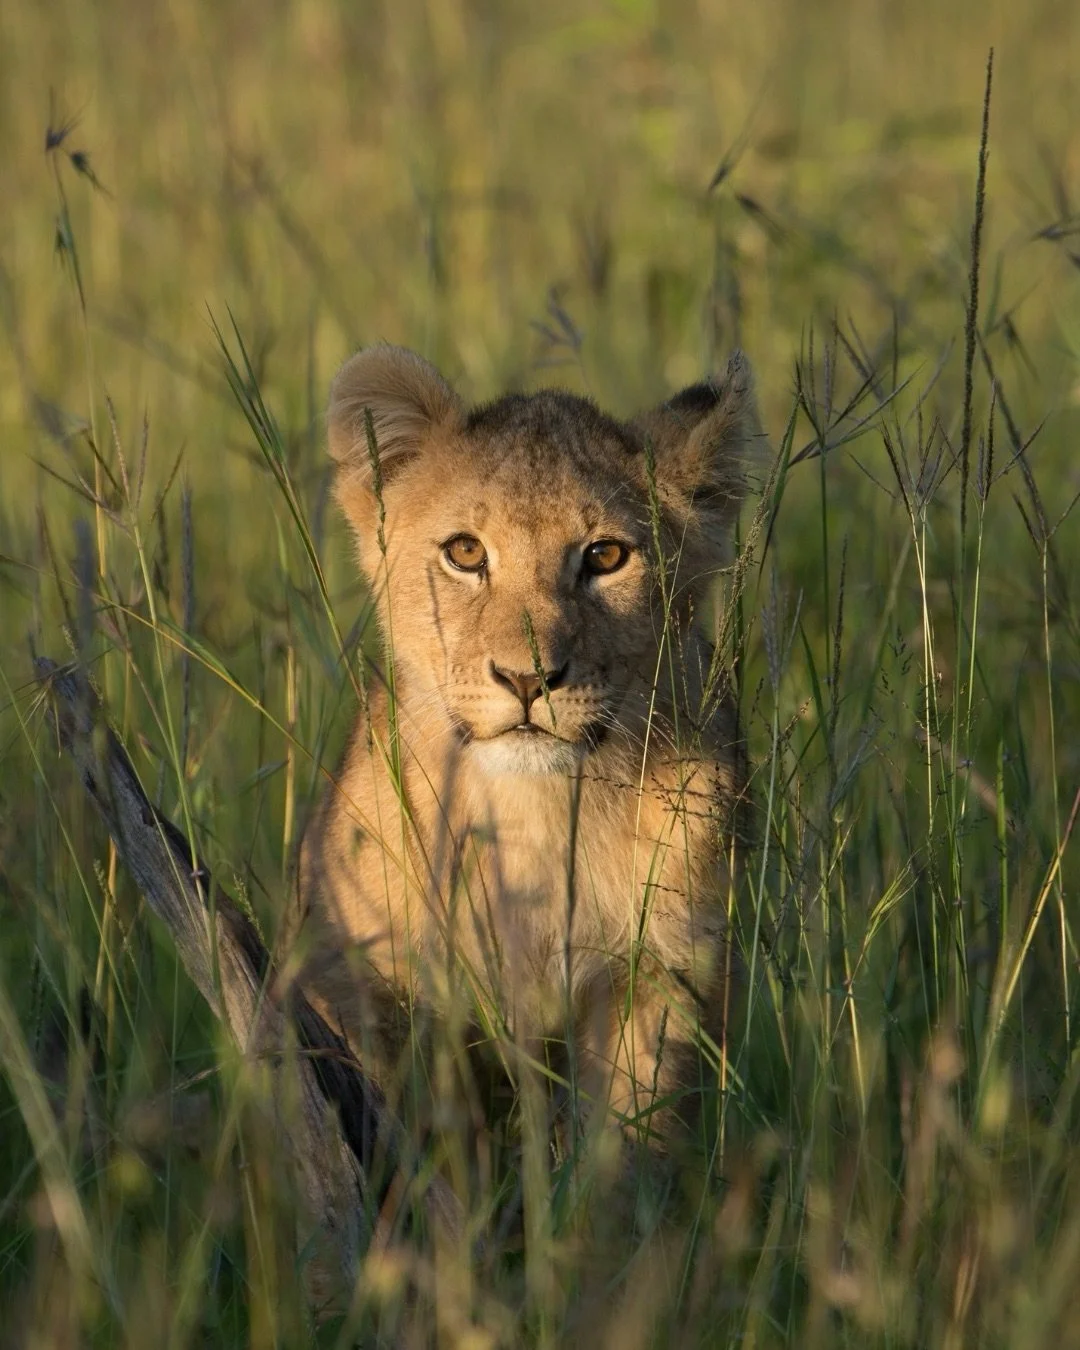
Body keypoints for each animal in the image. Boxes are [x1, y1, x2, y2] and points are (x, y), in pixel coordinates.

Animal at [292, 344, 760, 1148]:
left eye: (605, 556)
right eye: (465, 551)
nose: (527, 678)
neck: (532, 809)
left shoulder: (661, 973)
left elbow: (627, 1135)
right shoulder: (362, 975)